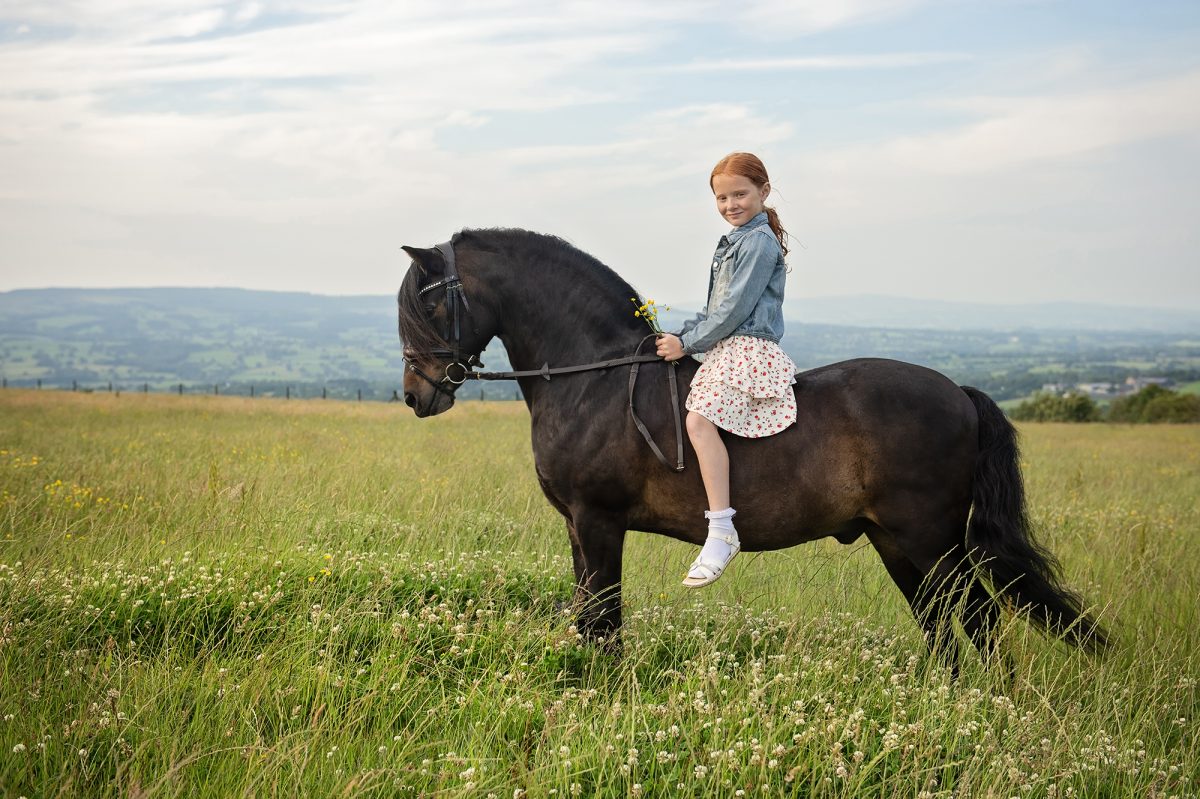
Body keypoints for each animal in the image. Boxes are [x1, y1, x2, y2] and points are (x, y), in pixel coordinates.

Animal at [396, 228, 1108, 666]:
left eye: (426, 307)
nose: (415, 394)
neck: (593, 376)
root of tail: (957, 392)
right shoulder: (578, 526)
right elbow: (588, 615)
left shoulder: (598, 522)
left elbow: (603, 620)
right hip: (896, 541)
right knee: (944, 626)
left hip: (931, 538)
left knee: (980, 624)